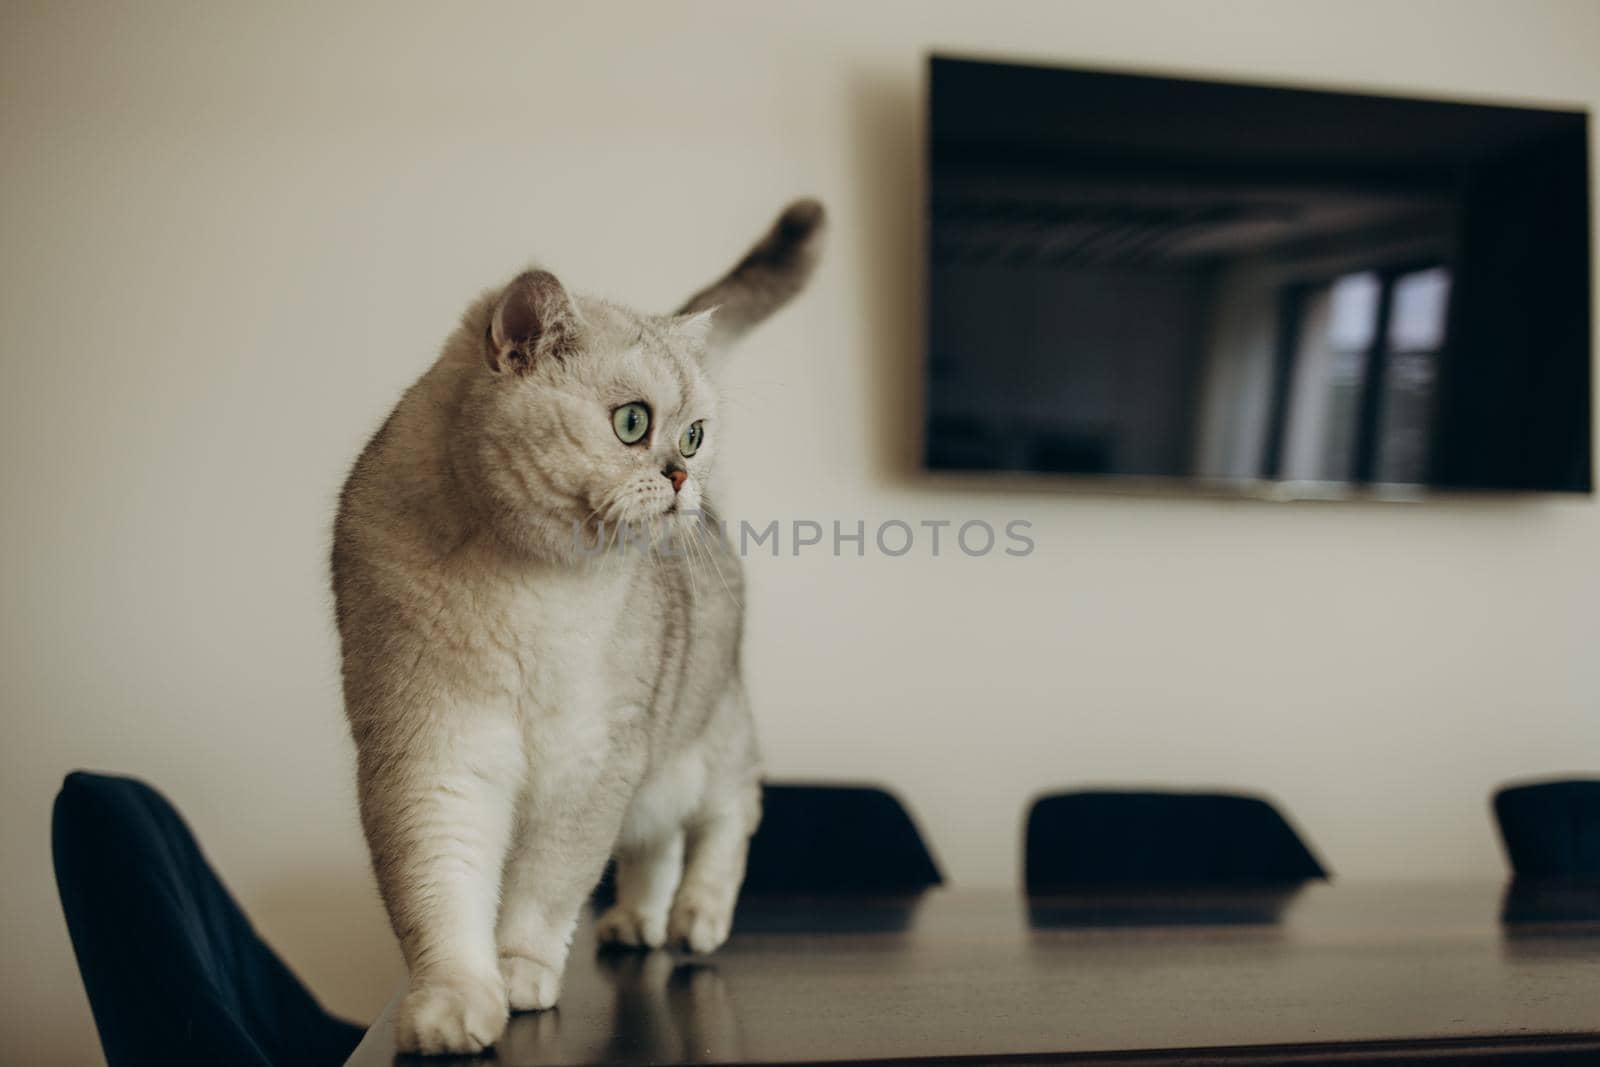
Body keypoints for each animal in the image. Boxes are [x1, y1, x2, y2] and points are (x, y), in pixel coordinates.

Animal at [328, 202, 825, 1062]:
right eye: (632, 423)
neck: (528, 587)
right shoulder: (433, 755)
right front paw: (454, 1007)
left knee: (729, 815)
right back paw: (636, 922)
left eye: (692, 435)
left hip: (701, 737)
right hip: (649, 775)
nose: (681, 476)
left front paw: (519, 975)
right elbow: (443, 900)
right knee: (655, 847)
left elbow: (543, 891)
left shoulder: (589, 764)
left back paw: (697, 917)